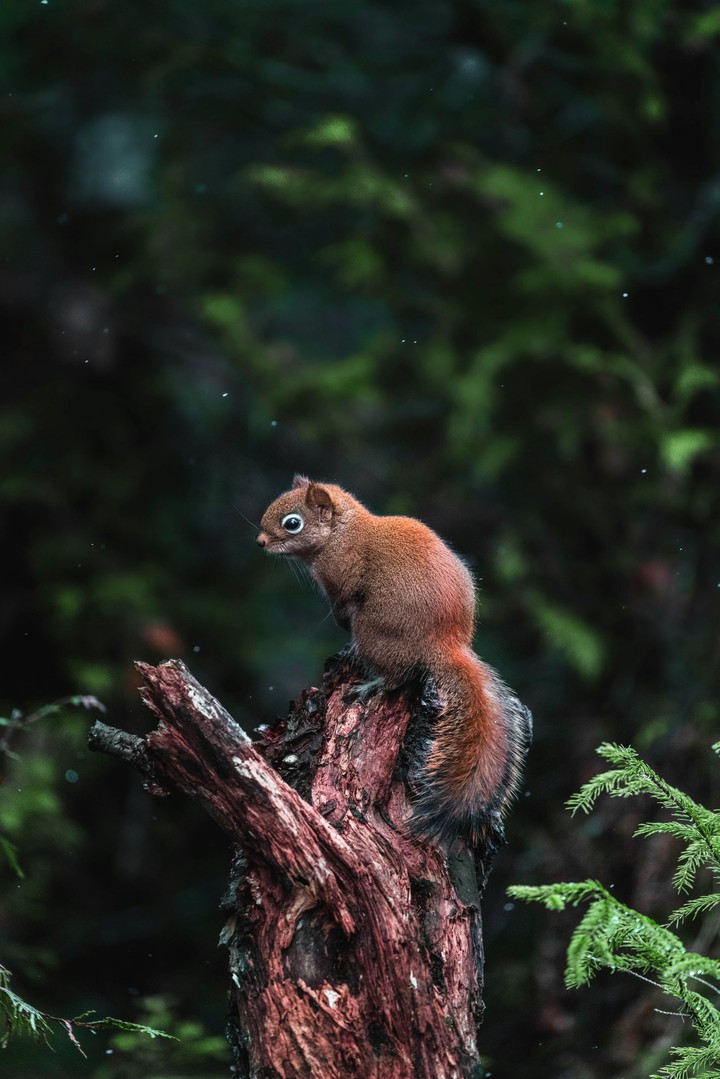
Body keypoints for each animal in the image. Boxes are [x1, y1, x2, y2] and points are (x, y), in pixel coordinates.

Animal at [257, 475, 532, 847]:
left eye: (292, 523)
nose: (260, 541)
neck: (343, 533)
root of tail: (446, 644)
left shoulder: (342, 574)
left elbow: (343, 602)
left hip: (374, 631)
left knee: (397, 676)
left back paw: (370, 684)